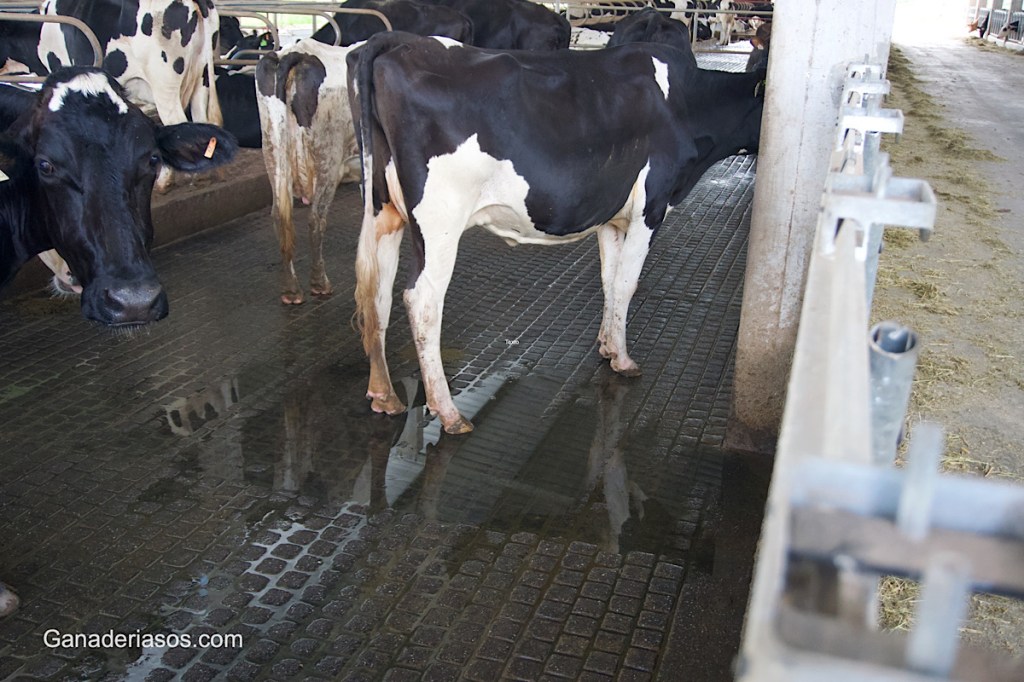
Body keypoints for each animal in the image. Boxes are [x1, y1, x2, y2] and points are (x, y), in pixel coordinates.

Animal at [256, 40, 362, 305]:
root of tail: (295, 53)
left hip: (272, 149)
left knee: (279, 215)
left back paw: (291, 289)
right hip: (327, 157)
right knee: (316, 218)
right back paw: (319, 283)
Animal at [347, 32, 766, 433]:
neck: (687, 104)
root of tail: (400, 40)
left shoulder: (611, 214)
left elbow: (609, 279)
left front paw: (607, 347)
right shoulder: (652, 204)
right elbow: (626, 283)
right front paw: (624, 359)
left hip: (384, 212)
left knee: (378, 294)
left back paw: (383, 394)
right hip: (439, 220)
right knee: (422, 301)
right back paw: (448, 412)